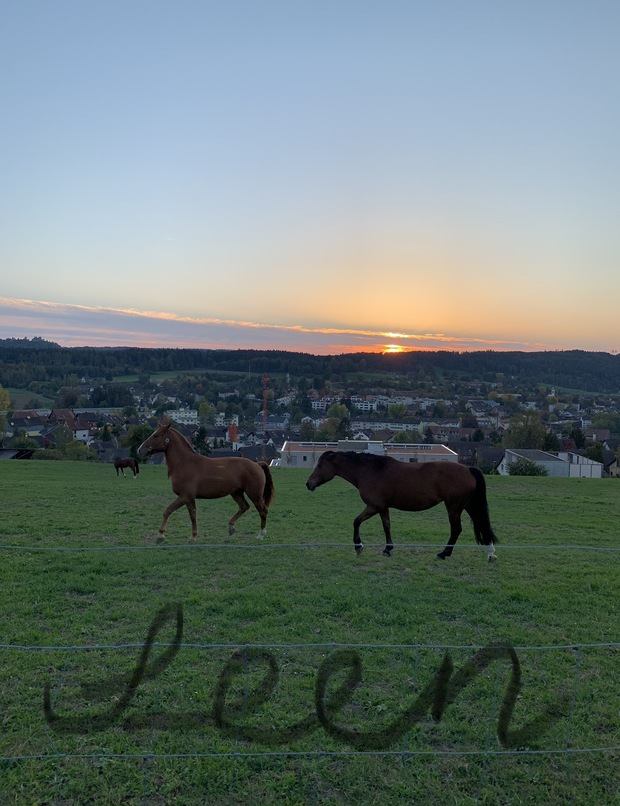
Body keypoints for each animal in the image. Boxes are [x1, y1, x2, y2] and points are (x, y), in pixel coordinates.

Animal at [140, 422, 276, 544]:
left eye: (156, 435)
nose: (140, 450)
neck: (184, 463)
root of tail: (257, 464)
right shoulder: (189, 498)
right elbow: (193, 516)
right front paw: (193, 537)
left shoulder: (184, 496)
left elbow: (167, 511)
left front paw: (160, 536)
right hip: (236, 493)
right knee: (244, 506)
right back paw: (231, 527)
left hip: (254, 494)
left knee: (263, 510)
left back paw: (261, 534)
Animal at [306, 452, 498, 564]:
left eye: (320, 465)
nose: (309, 484)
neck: (370, 470)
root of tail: (468, 469)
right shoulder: (383, 507)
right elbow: (386, 526)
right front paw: (387, 549)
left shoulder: (373, 506)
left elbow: (356, 521)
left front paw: (358, 546)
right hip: (469, 505)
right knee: (481, 524)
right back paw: (490, 553)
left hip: (454, 507)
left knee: (456, 529)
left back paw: (444, 553)